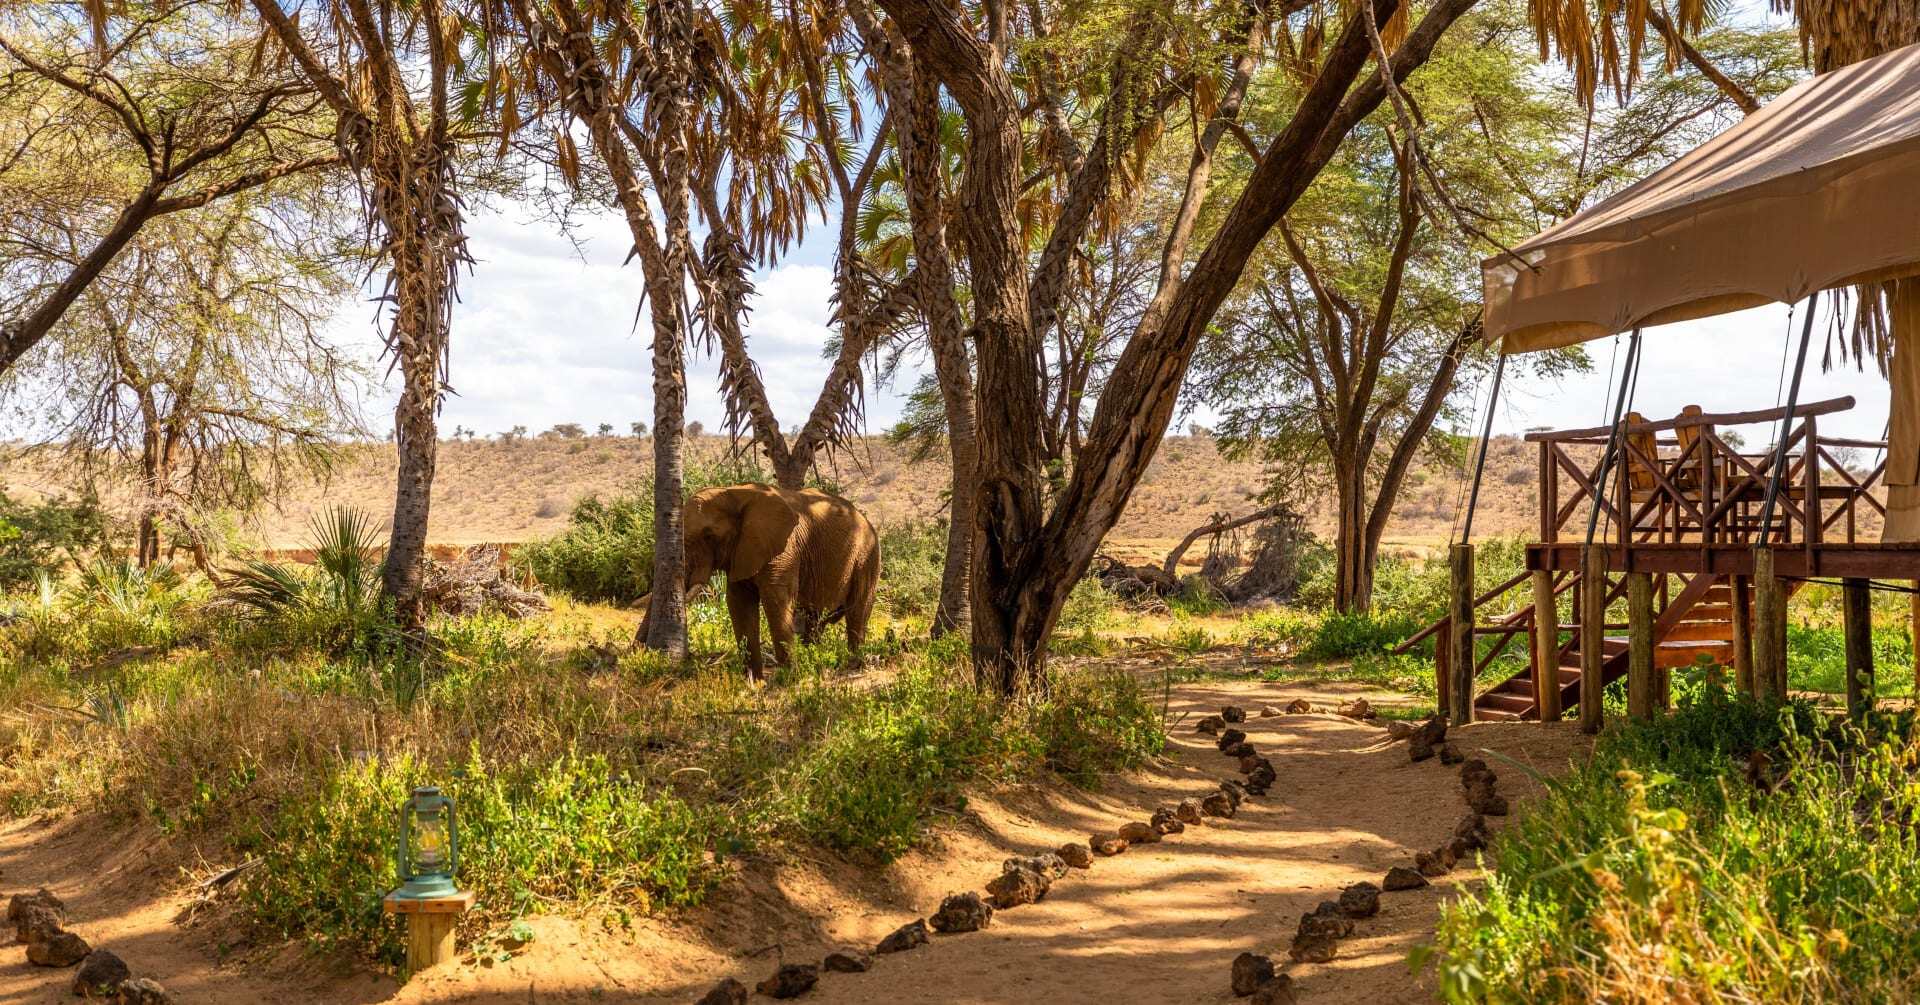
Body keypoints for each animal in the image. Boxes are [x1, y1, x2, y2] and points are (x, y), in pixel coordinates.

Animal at [679, 484, 879, 680]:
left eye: (709, 536)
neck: (732, 492)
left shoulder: (784, 550)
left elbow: (776, 600)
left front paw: (788, 679)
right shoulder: (741, 552)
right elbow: (739, 603)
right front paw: (754, 681)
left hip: (866, 556)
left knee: (857, 611)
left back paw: (854, 662)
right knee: (816, 618)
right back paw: (814, 661)